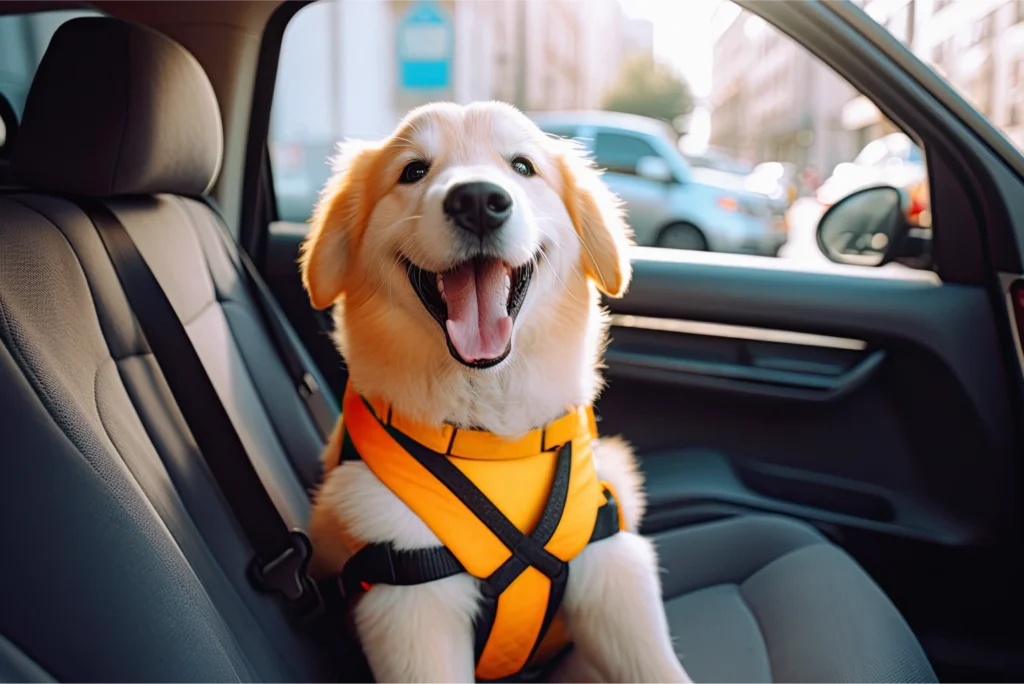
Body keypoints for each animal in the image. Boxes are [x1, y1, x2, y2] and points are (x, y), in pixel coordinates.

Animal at [299, 97, 692, 684]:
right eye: (413, 171)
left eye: (523, 166)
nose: (479, 202)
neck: (492, 435)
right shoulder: (410, 599)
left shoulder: (611, 562)